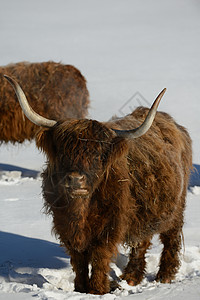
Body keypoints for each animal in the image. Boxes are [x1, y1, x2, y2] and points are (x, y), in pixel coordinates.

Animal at [5, 75, 192, 296]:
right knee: (141, 241)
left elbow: (100, 257)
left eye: (97, 155)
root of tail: (174, 125)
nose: (75, 179)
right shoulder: (66, 227)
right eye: (63, 152)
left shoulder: (109, 227)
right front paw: (80, 288)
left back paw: (164, 276)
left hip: (176, 207)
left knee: (170, 238)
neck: (81, 210)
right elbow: (78, 259)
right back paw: (131, 277)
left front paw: (98, 289)